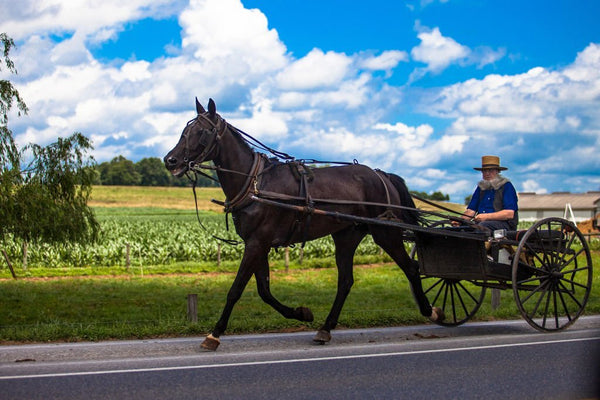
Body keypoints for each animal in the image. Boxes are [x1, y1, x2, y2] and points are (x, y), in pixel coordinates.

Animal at [164, 98, 446, 348]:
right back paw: (326, 328)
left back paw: (432, 311)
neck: (255, 183)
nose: (170, 161)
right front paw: (301, 313)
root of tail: (381, 175)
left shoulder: (257, 243)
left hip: (385, 232)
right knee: (346, 281)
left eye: (201, 132)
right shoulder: (258, 244)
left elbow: (236, 289)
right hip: (346, 235)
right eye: (184, 131)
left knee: (411, 267)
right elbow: (264, 290)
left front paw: (214, 334)